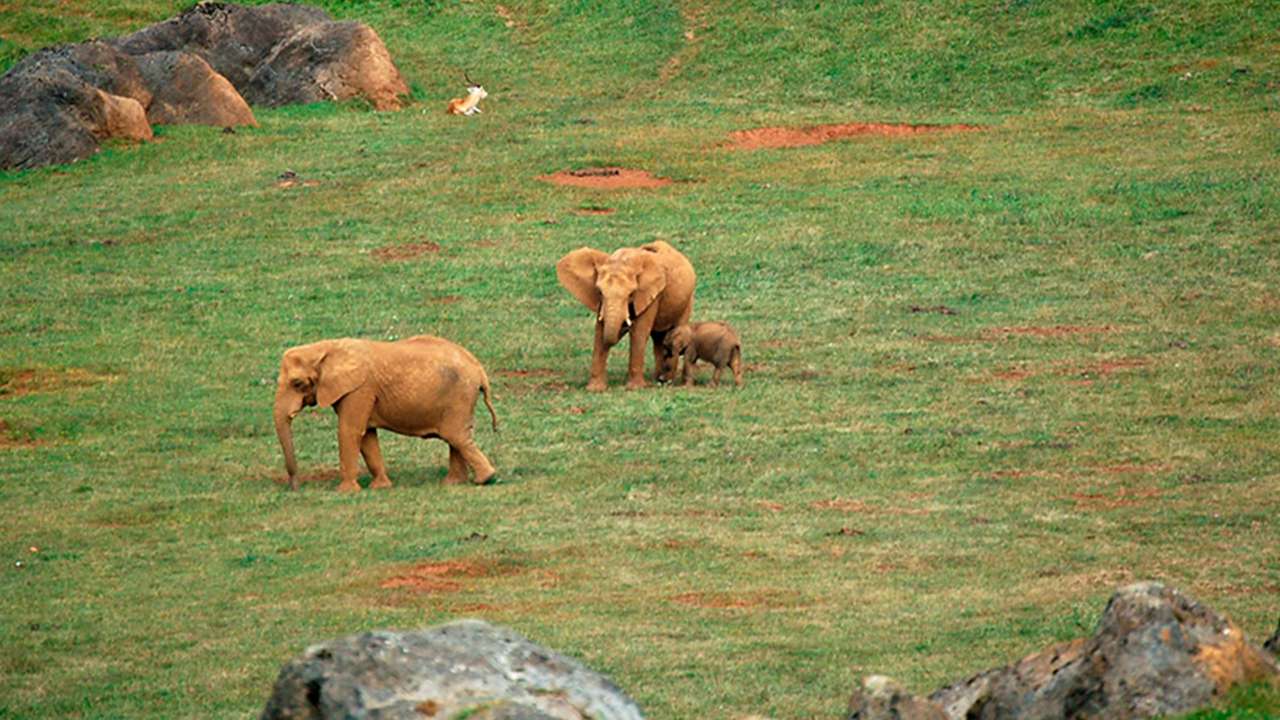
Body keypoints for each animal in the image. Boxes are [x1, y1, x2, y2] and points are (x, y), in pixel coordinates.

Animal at [272, 335, 498, 492]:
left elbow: (349, 430)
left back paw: (484, 480)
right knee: (455, 438)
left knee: (455, 436)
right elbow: (367, 436)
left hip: (460, 396)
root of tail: (480, 369)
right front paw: (381, 487)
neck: (324, 348)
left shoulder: (359, 389)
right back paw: (453, 483)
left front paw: (344, 492)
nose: (295, 488)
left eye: (297, 383)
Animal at [556, 240, 696, 391]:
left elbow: (638, 332)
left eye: (631, 294)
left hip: (687, 301)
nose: (624, 326)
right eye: (599, 291)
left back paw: (666, 382)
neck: (622, 260)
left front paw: (634, 388)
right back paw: (658, 380)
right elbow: (600, 331)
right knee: (658, 338)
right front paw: (595, 389)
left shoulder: (651, 293)